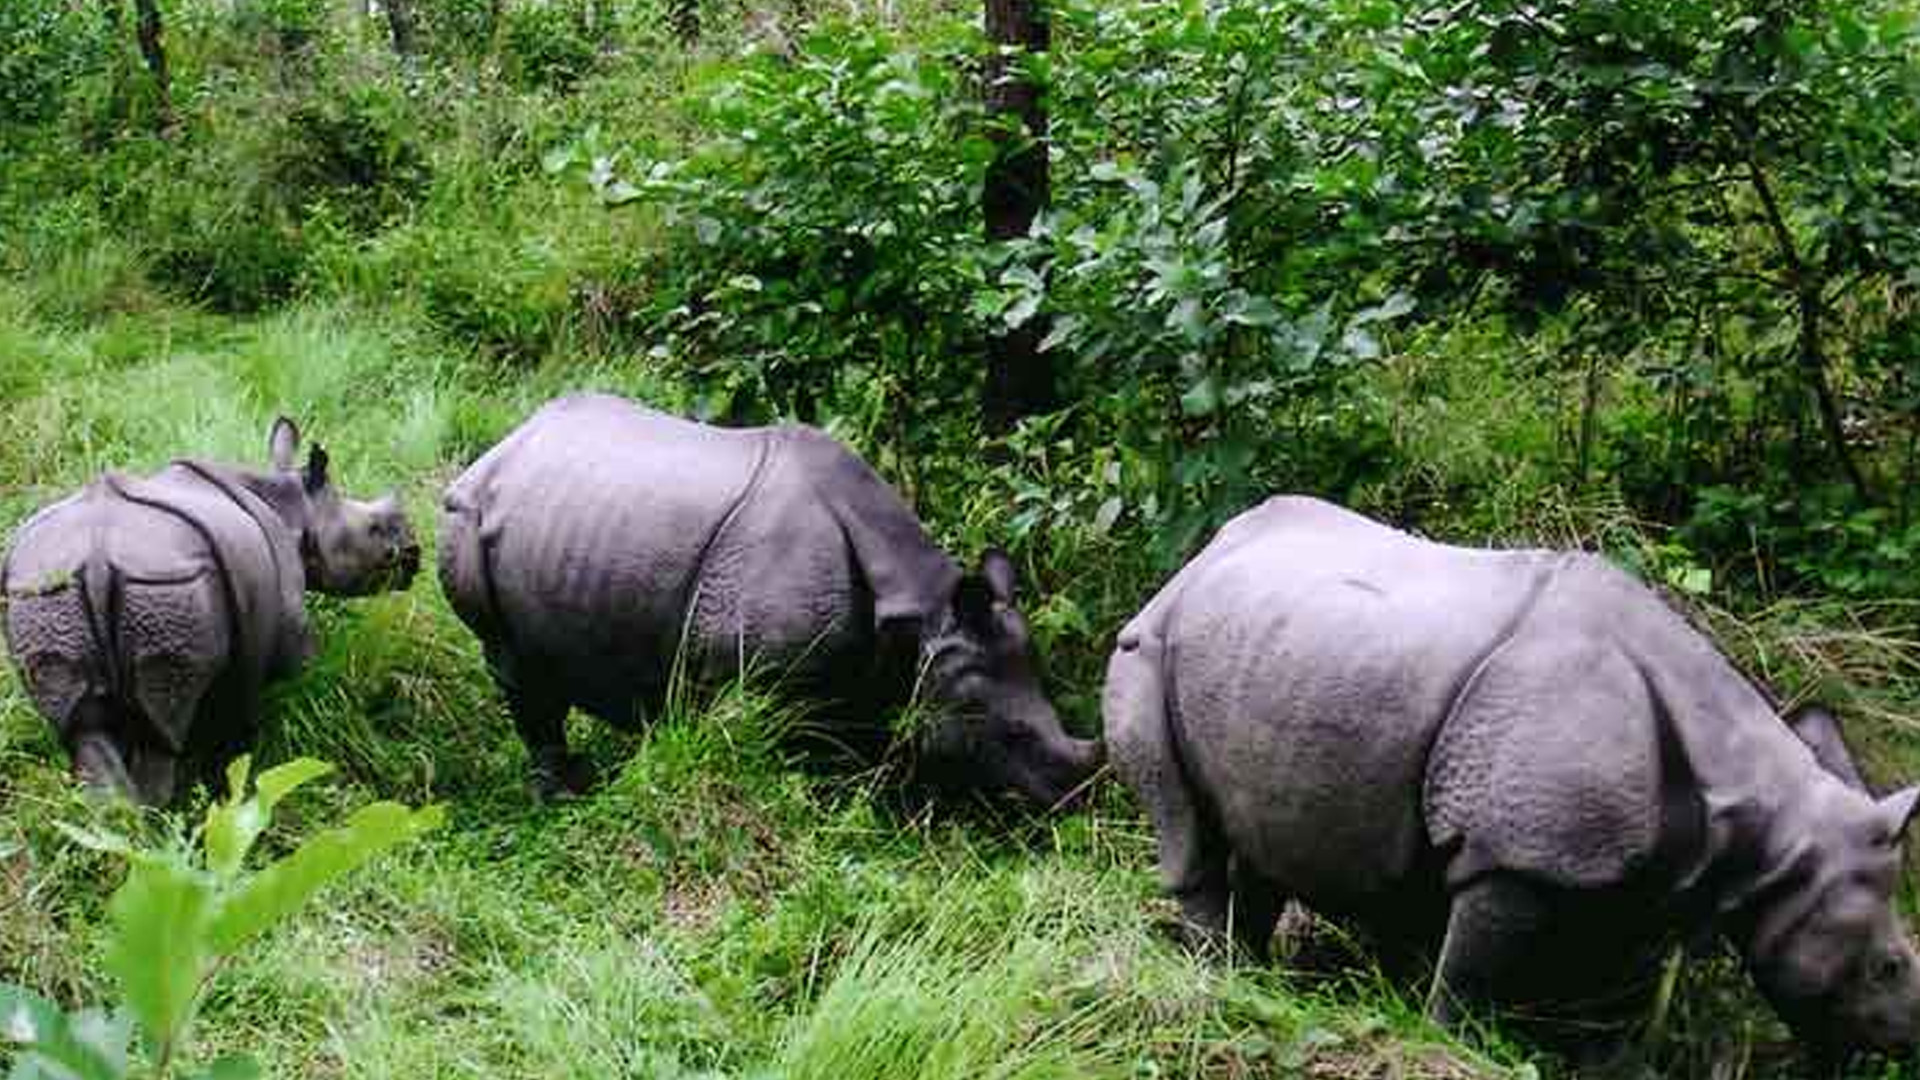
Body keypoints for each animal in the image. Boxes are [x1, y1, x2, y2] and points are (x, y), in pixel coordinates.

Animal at [0, 418, 420, 799]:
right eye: (375, 530)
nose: (414, 555)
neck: (295, 506)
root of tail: (99, 556)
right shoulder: (288, 625)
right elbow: (301, 681)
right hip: (165, 589)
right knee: (162, 732)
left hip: (43, 595)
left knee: (83, 729)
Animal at [435, 390, 1098, 803]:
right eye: (1004, 730)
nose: (1072, 798)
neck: (923, 611)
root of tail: (505, 445)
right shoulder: (742, 676)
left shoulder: (863, 666)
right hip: (465, 516)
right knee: (510, 660)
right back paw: (561, 795)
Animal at [1113, 495, 1920, 1053]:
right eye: (1889, 966)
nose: (1905, 1040)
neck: (1763, 826)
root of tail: (1194, 561)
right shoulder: (1517, 854)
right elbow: (1472, 971)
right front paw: (1451, 1042)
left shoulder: (1631, 869)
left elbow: (1601, 996)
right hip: (1148, 646)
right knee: (1186, 825)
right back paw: (1215, 976)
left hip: (1272, 647)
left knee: (1259, 832)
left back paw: (1251, 976)